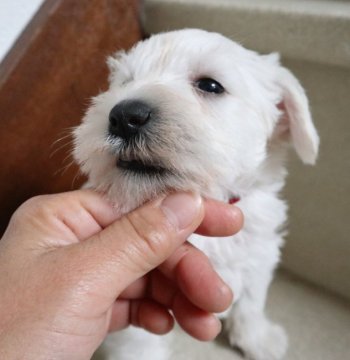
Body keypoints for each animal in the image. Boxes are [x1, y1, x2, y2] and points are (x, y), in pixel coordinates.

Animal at [72, 28, 318, 360]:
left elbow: (251, 301)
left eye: (210, 85)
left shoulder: (259, 251)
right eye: (125, 82)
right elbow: (139, 346)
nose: (123, 116)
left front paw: (259, 339)